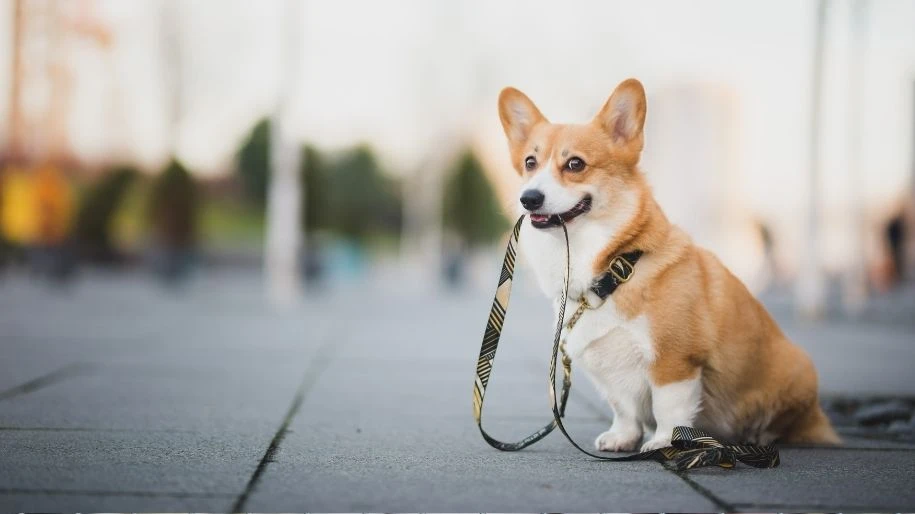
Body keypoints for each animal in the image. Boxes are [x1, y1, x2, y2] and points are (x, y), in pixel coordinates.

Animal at [498, 78, 840, 450]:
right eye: (530, 162)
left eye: (575, 164)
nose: (528, 198)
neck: (614, 270)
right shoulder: (610, 371)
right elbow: (623, 407)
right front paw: (622, 438)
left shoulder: (674, 362)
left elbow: (669, 407)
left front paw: (665, 443)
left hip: (798, 371)